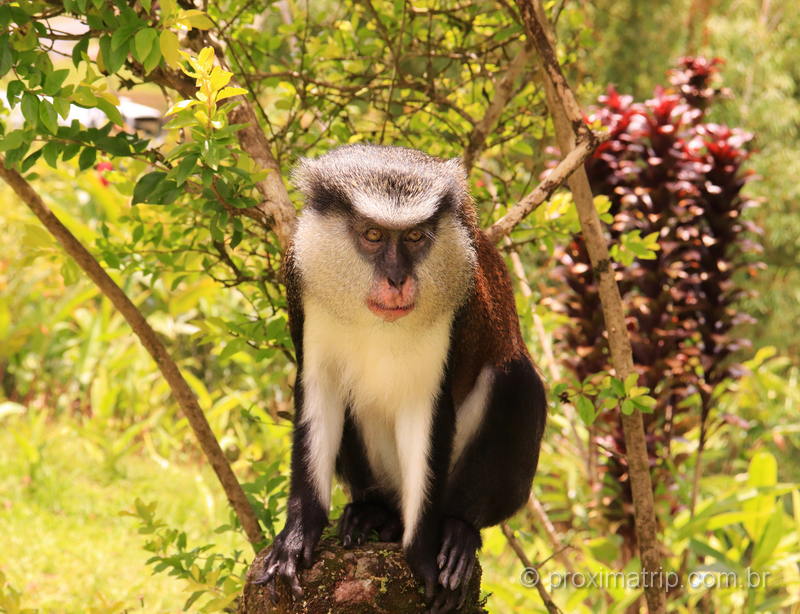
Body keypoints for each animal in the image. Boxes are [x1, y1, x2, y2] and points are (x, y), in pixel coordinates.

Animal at [260, 146, 548, 614]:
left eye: (414, 237)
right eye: (373, 234)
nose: (397, 279)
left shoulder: (453, 317)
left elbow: (426, 416)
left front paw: (423, 556)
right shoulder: (304, 292)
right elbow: (320, 395)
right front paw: (297, 536)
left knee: (517, 382)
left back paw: (457, 532)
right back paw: (376, 513)